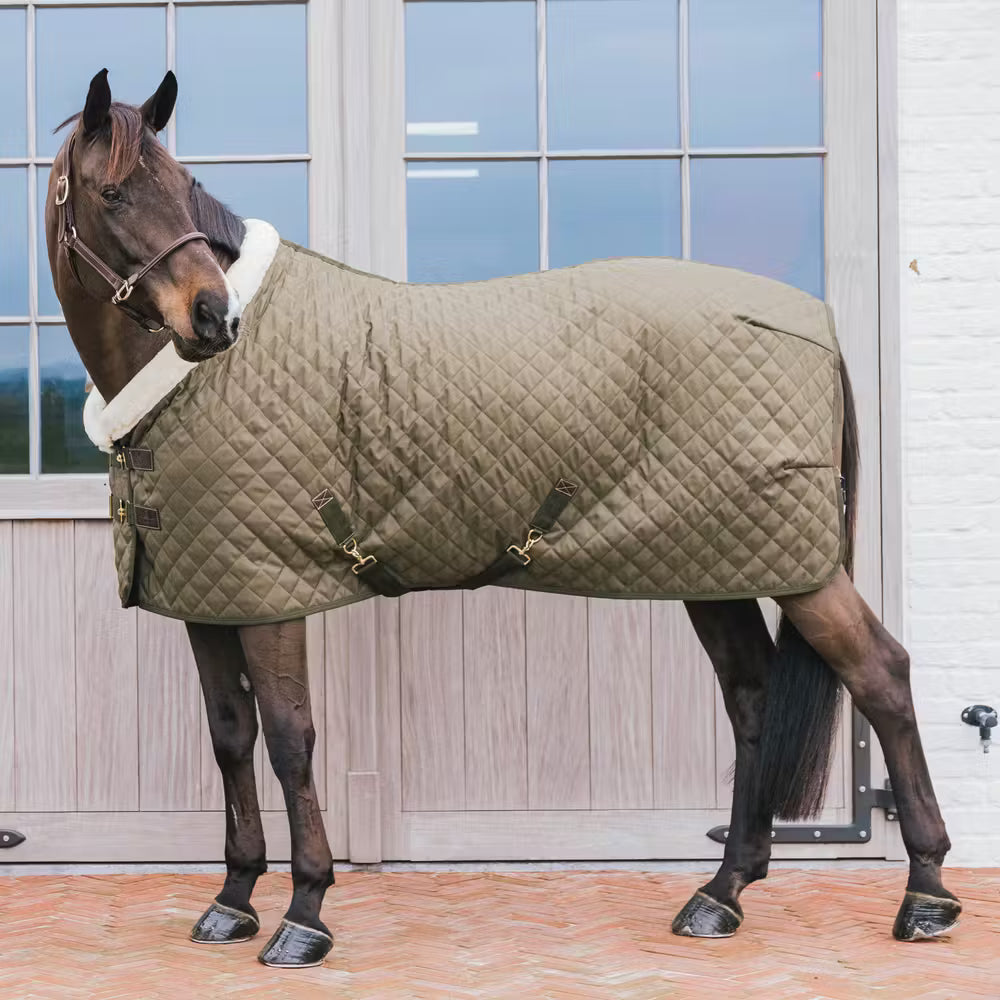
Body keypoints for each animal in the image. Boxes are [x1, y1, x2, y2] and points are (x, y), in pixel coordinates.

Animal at [42, 69, 959, 968]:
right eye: (115, 192)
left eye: (184, 188)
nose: (214, 318)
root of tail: (815, 325)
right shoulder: (209, 595)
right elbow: (232, 737)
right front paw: (231, 902)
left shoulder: (270, 594)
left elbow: (290, 738)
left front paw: (305, 912)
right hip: (719, 563)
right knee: (753, 698)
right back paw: (722, 893)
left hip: (795, 566)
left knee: (881, 674)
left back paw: (925, 895)